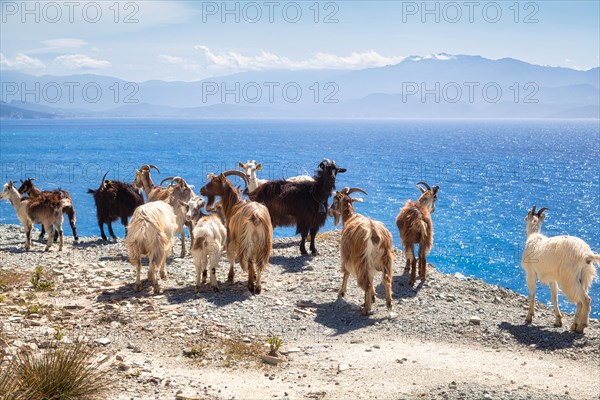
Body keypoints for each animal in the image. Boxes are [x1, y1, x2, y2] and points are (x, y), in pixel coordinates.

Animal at [328, 188, 394, 316]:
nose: (329, 210)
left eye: (335, 200)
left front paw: (341, 292)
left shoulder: (347, 256)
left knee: (366, 283)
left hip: (361, 260)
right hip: (385, 259)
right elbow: (372, 278)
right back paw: (388, 303)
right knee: (386, 279)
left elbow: (346, 273)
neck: (350, 218)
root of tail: (374, 232)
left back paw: (366, 309)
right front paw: (372, 296)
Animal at [520, 206, 600, 334]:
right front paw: (558, 321)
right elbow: (554, 298)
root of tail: (586, 254)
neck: (534, 238)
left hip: (570, 278)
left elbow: (532, 294)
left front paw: (529, 317)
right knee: (580, 300)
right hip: (584, 276)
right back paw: (574, 325)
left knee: (585, 299)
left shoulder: (530, 272)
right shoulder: (552, 278)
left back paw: (581, 326)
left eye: (526, 218)